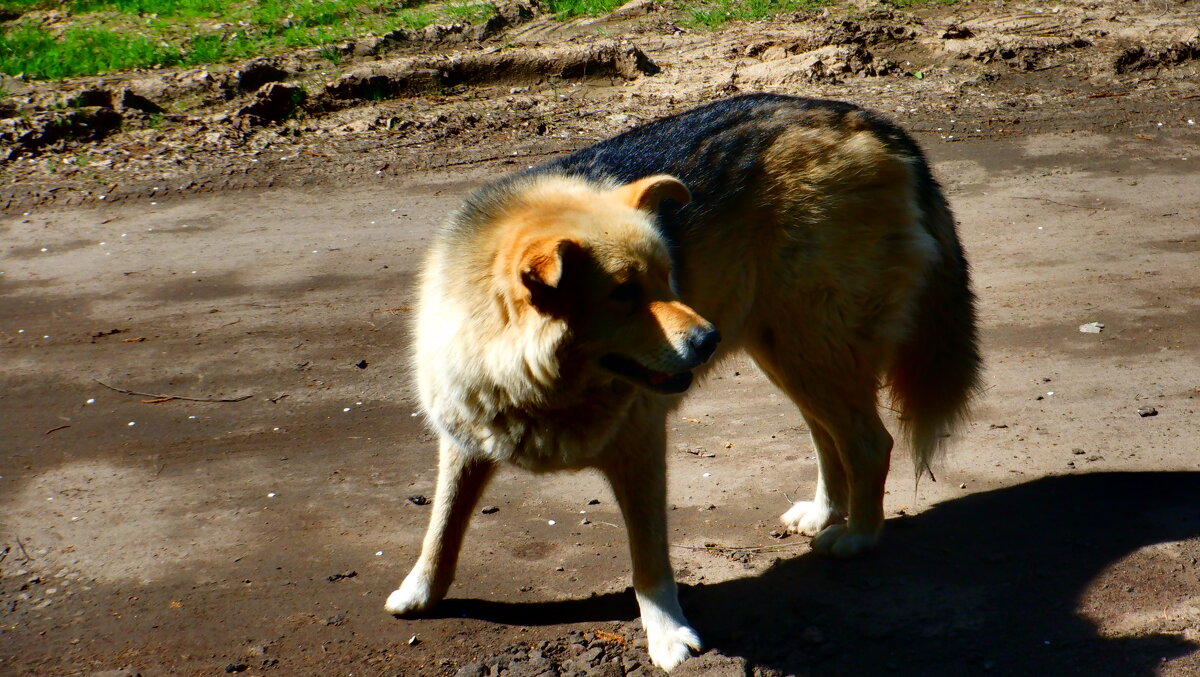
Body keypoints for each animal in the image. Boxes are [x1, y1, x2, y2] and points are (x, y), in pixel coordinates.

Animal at [388, 95, 979, 672]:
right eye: (625, 294)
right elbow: (442, 526)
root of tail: (871, 121)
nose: (709, 339)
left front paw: (667, 635)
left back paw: (859, 535)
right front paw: (419, 593)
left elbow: (649, 562)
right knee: (829, 438)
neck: (546, 387)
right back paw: (824, 513)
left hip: (812, 354)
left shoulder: (642, 453)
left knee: (868, 443)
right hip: (791, 357)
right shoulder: (465, 442)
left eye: (667, 276)